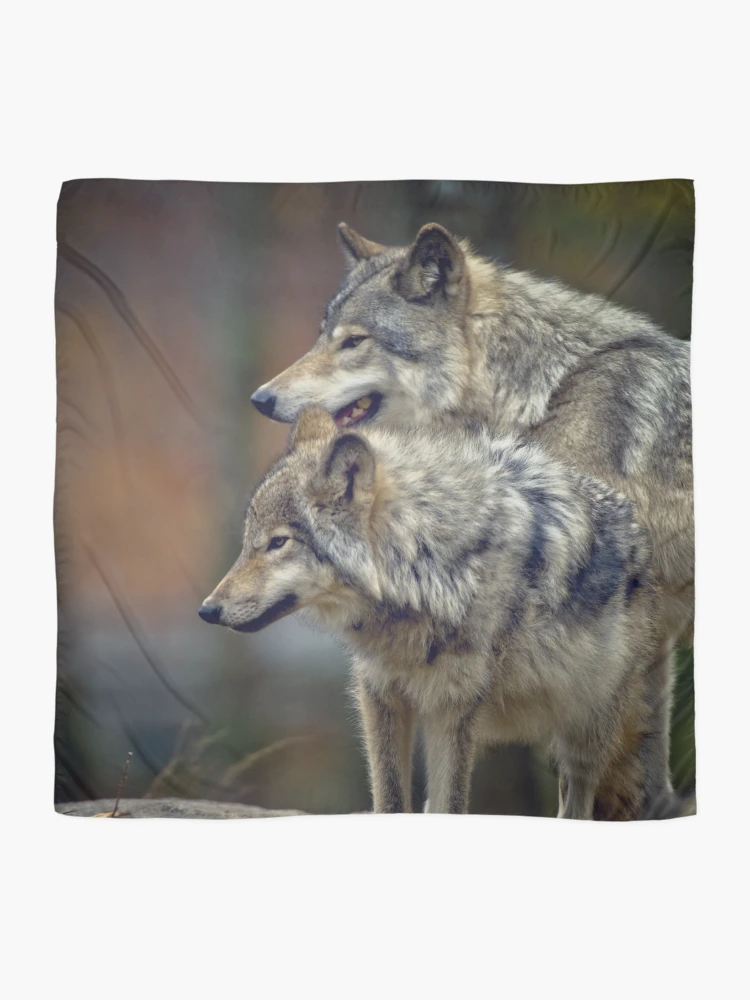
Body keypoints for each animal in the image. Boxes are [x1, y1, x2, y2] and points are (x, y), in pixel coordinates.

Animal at [200, 407, 673, 819]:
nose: (207, 610)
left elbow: (452, 803)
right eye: (248, 541)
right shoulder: (381, 694)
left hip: (584, 730)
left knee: (578, 802)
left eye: (278, 543)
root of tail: (639, 532)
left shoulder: (453, 705)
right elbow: (393, 800)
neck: (425, 562)